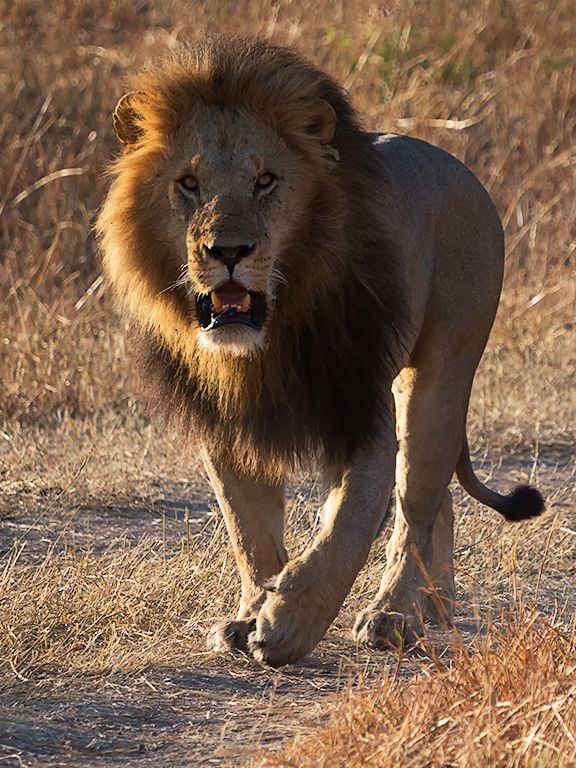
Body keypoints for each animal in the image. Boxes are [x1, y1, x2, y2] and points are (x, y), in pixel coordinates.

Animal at [97, 35, 544, 667]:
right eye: (188, 184)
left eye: (266, 181)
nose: (227, 251)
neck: (270, 338)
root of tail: (455, 164)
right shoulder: (229, 424)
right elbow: (251, 533)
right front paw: (248, 615)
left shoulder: (362, 411)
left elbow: (346, 529)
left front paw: (286, 626)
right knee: (436, 506)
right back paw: (434, 608)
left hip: (437, 377)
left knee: (418, 503)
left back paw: (395, 616)